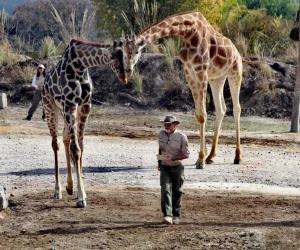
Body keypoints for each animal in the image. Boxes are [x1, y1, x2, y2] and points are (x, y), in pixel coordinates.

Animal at [42, 38, 125, 207]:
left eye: (126, 55)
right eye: (112, 56)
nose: (124, 76)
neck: (80, 65)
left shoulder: (85, 105)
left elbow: (81, 146)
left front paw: (81, 193)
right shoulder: (70, 104)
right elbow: (76, 149)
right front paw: (81, 198)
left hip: (64, 112)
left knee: (65, 138)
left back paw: (69, 187)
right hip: (50, 108)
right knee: (55, 143)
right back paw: (58, 191)